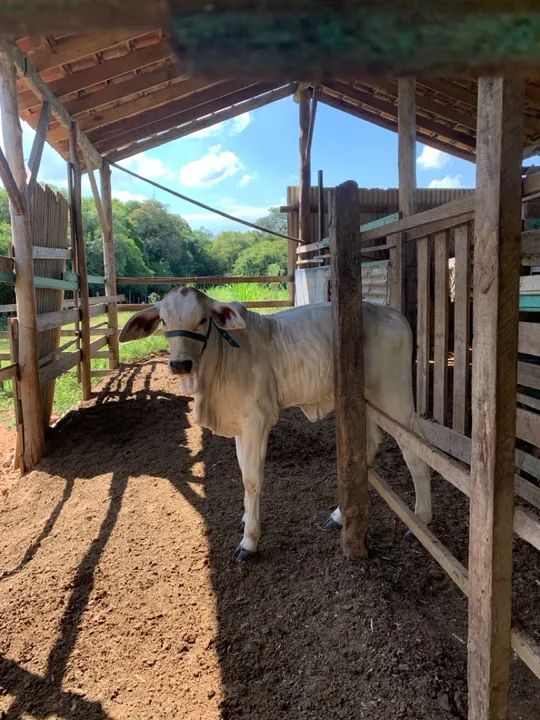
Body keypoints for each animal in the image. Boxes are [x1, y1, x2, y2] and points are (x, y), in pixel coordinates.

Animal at [120, 287, 431, 561]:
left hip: (395, 397)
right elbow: (242, 471)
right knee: (367, 449)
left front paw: (249, 541)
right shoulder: (240, 425)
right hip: (363, 401)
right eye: (164, 321)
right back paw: (339, 515)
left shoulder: (257, 420)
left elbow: (252, 478)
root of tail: (394, 314)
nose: (180, 364)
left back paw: (421, 521)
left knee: (415, 451)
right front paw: (246, 519)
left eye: (203, 318)